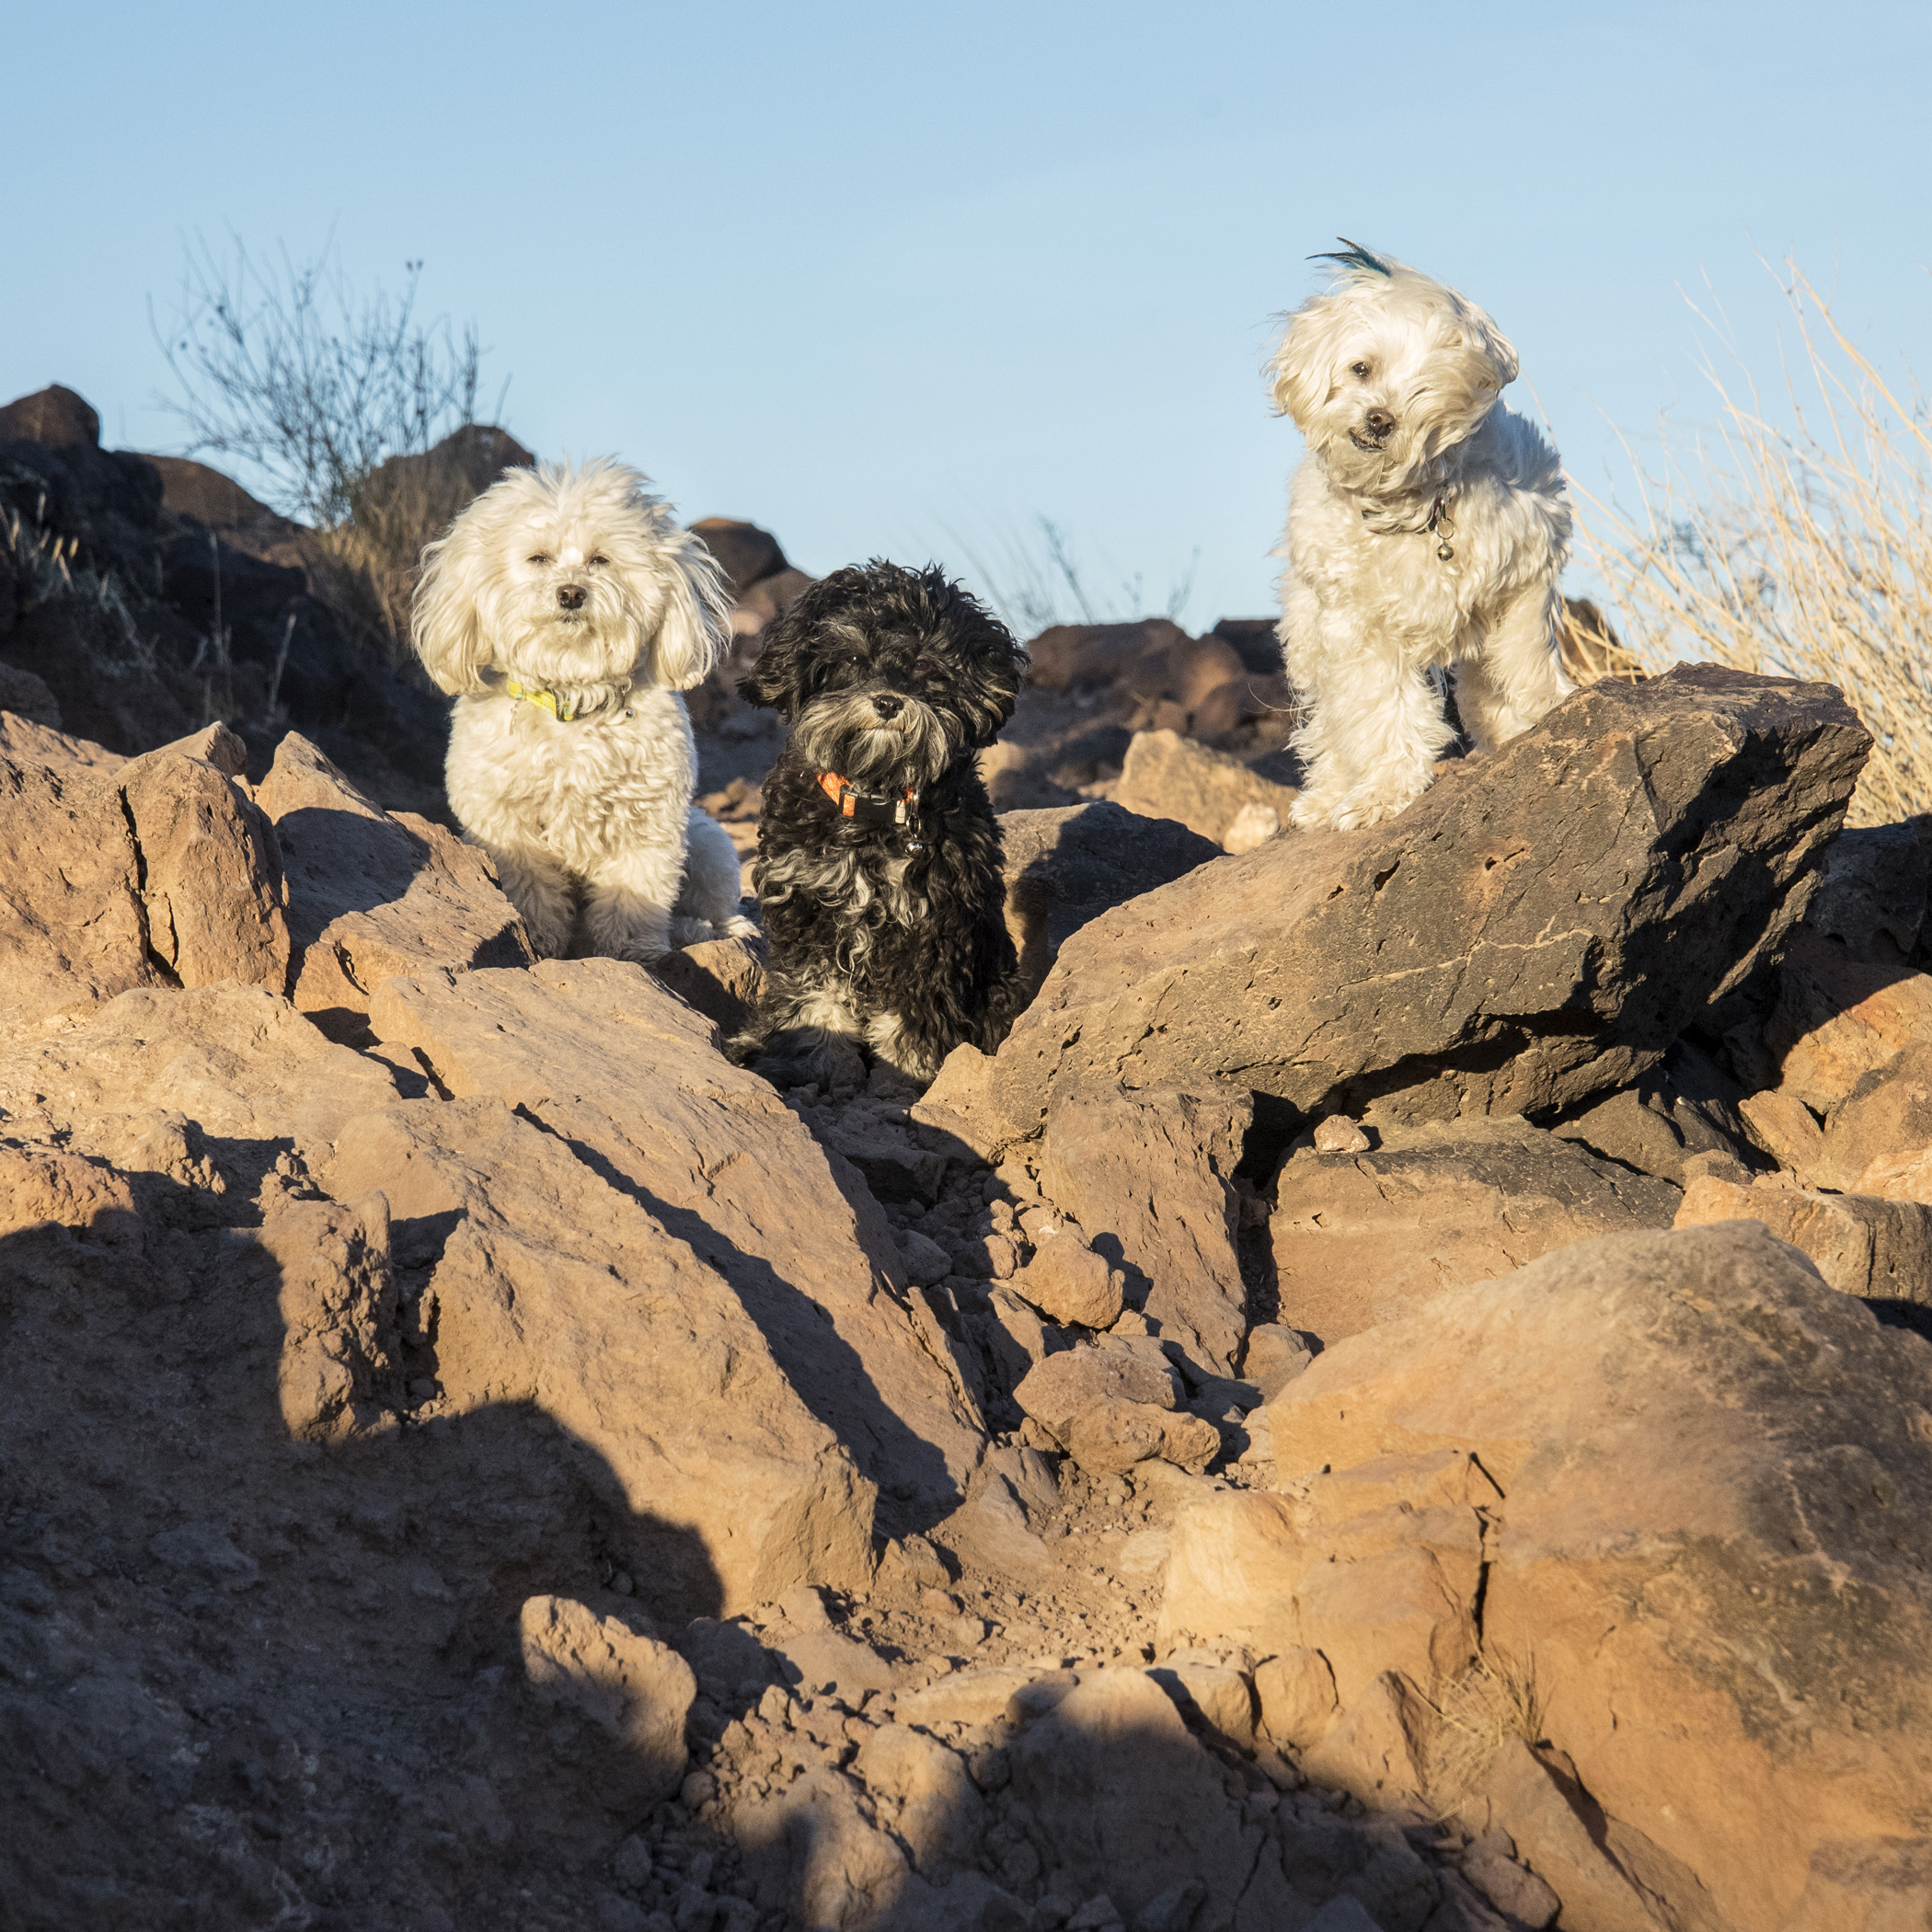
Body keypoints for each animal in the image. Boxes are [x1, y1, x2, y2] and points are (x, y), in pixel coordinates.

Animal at [411, 454, 749, 966]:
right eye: (538, 559)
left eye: (600, 559)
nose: (571, 592)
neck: (570, 696)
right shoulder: (507, 826)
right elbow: (531, 890)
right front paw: (538, 940)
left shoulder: (645, 824)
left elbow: (632, 896)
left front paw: (629, 952)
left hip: (710, 841)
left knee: (714, 903)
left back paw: (705, 928)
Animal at [733, 564, 1035, 1097]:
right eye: (854, 657)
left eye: (926, 665)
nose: (889, 701)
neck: (874, 801)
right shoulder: (808, 908)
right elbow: (816, 997)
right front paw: (816, 1060)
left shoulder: (933, 925)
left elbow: (911, 1014)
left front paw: (905, 1074)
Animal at [1274, 243, 1576, 830]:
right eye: (1361, 368)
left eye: (1426, 389)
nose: (1379, 419)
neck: (1416, 502)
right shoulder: (1360, 628)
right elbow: (1382, 712)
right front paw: (1382, 794)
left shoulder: (1523, 576)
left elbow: (1523, 661)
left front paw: (1538, 717)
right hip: (1310, 635)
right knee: (1333, 725)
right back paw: (1326, 796)